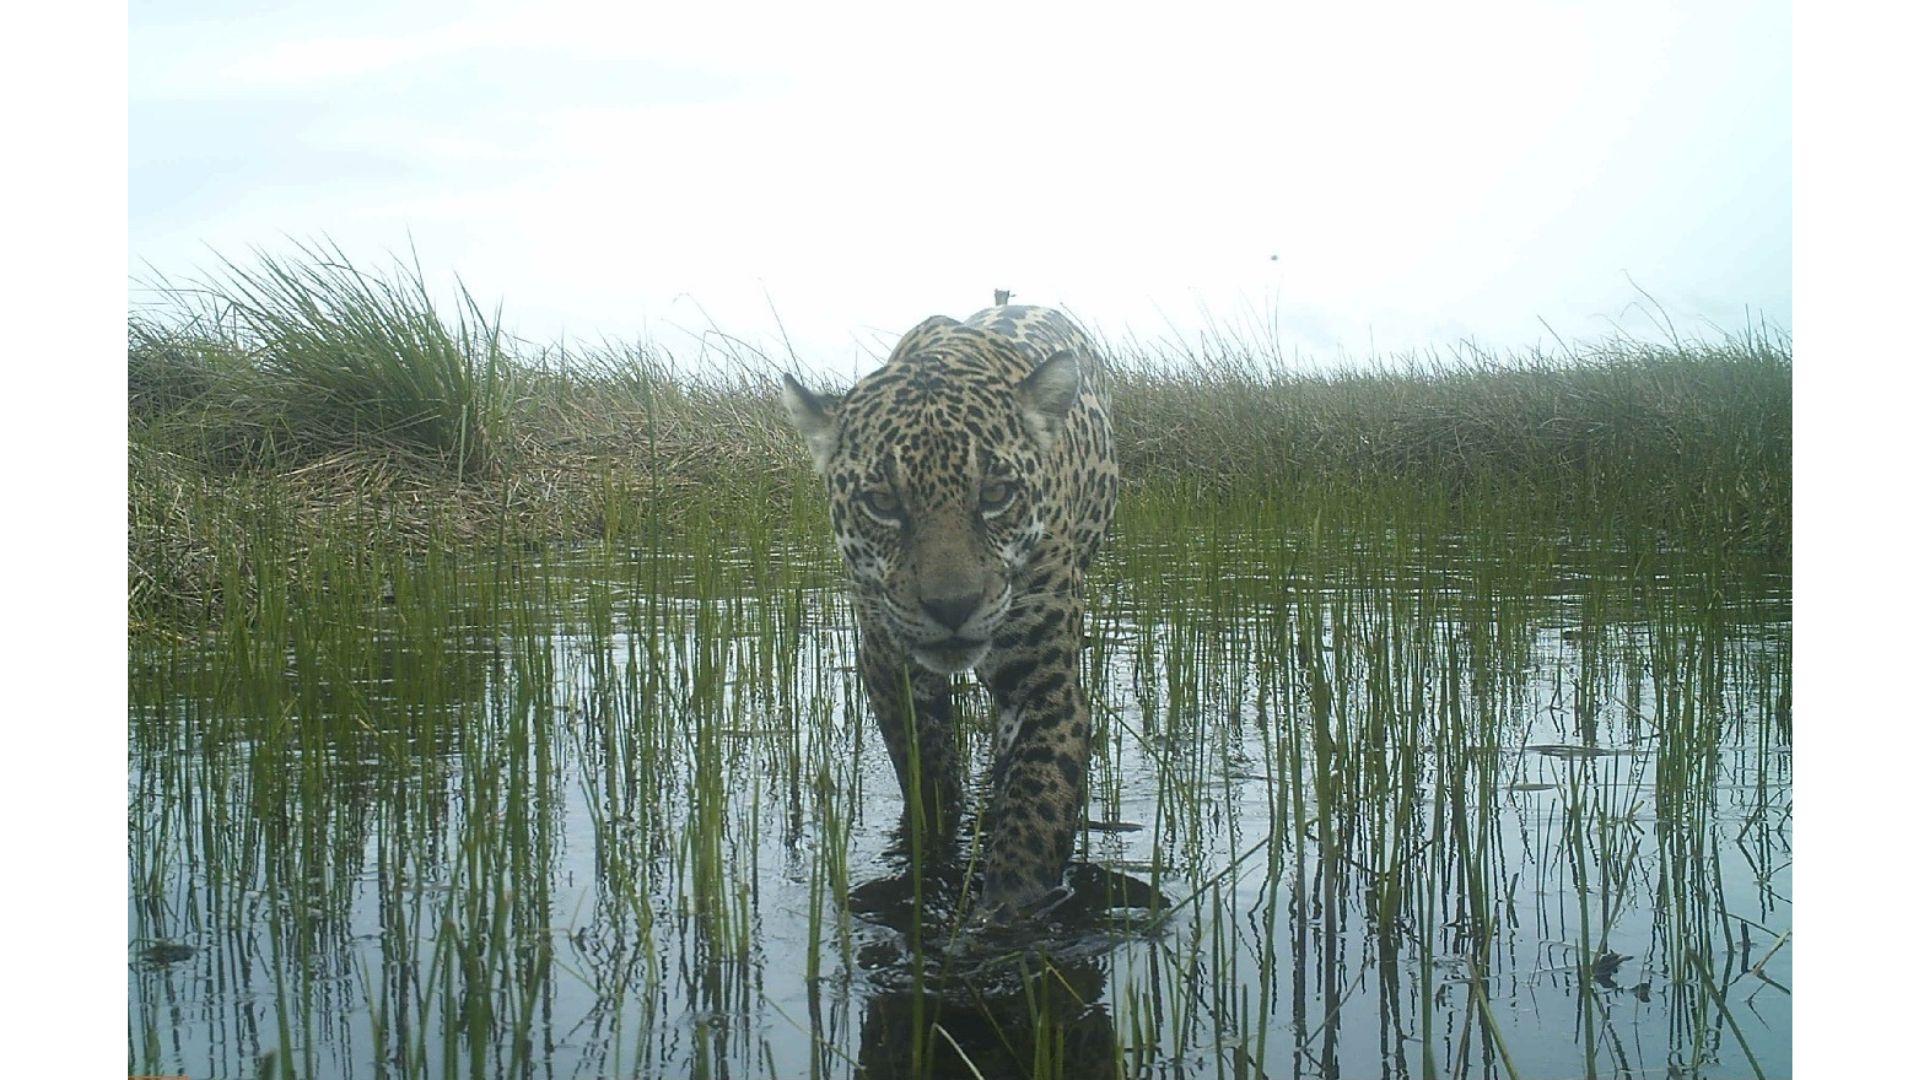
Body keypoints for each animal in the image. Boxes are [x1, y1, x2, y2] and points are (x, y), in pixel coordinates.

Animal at [782, 304, 1119, 924]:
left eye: (996, 493)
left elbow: (1037, 810)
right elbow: (927, 778)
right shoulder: (889, 666)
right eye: (882, 503)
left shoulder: (1046, 683)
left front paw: (1008, 912)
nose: (953, 606)